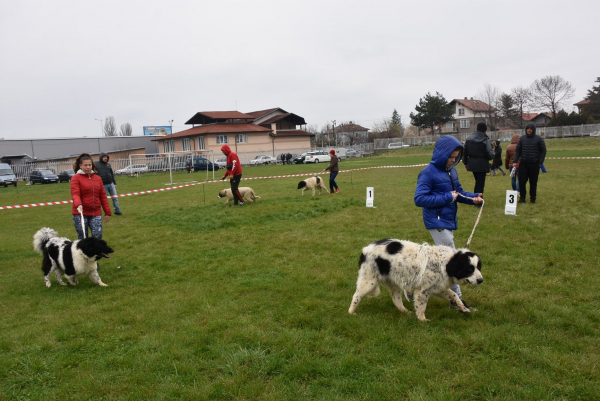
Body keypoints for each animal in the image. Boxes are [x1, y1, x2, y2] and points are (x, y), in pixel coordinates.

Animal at [346, 238, 482, 322]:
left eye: (478, 267)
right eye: (470, 268)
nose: (481, 280)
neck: (447, 263)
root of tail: (366, 249)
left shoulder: (438, 288)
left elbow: (454, 295)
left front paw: (463, 308)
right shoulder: (423, 291)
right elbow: (421, 307)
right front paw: (422, 320)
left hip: (394, 283)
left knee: (396, 300)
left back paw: (405, 312)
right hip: (369, 281)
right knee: (356, 296)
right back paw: (351, 312)